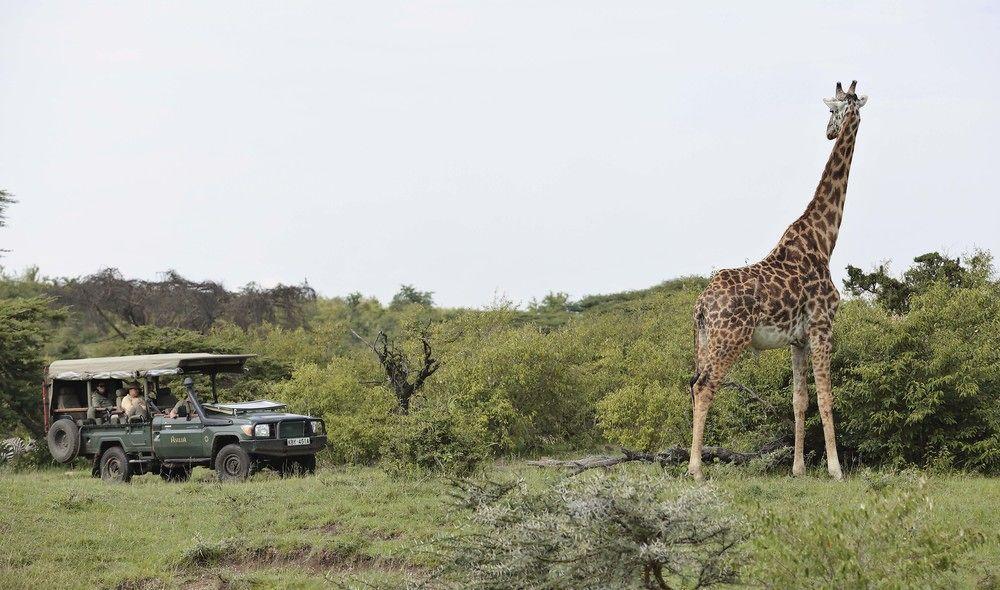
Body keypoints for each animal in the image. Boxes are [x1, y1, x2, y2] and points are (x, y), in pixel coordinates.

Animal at [688, 81, 868, 484]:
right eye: (831, 109)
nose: (829, 131)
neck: (824, 240)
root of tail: (702, 306)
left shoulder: (797, 339)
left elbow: (800, 400)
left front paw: (798, 468)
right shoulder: (822, 326)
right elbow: (827, 397)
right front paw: (835, 470)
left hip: (705, 341)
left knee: (693, 384)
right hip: (730, 339)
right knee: (705, 387)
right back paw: (695, 470)